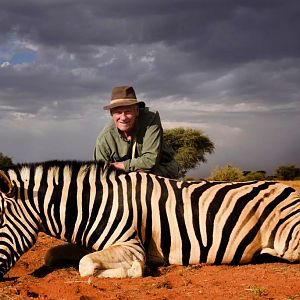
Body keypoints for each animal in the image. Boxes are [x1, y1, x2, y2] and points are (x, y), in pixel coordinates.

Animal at [0, 161, 298, 278]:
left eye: (0, 219)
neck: (93, 205)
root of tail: (288, 188)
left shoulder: (131, 245)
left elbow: (86, 265)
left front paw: (136, 270)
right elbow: (52, 254)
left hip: (290, 240)